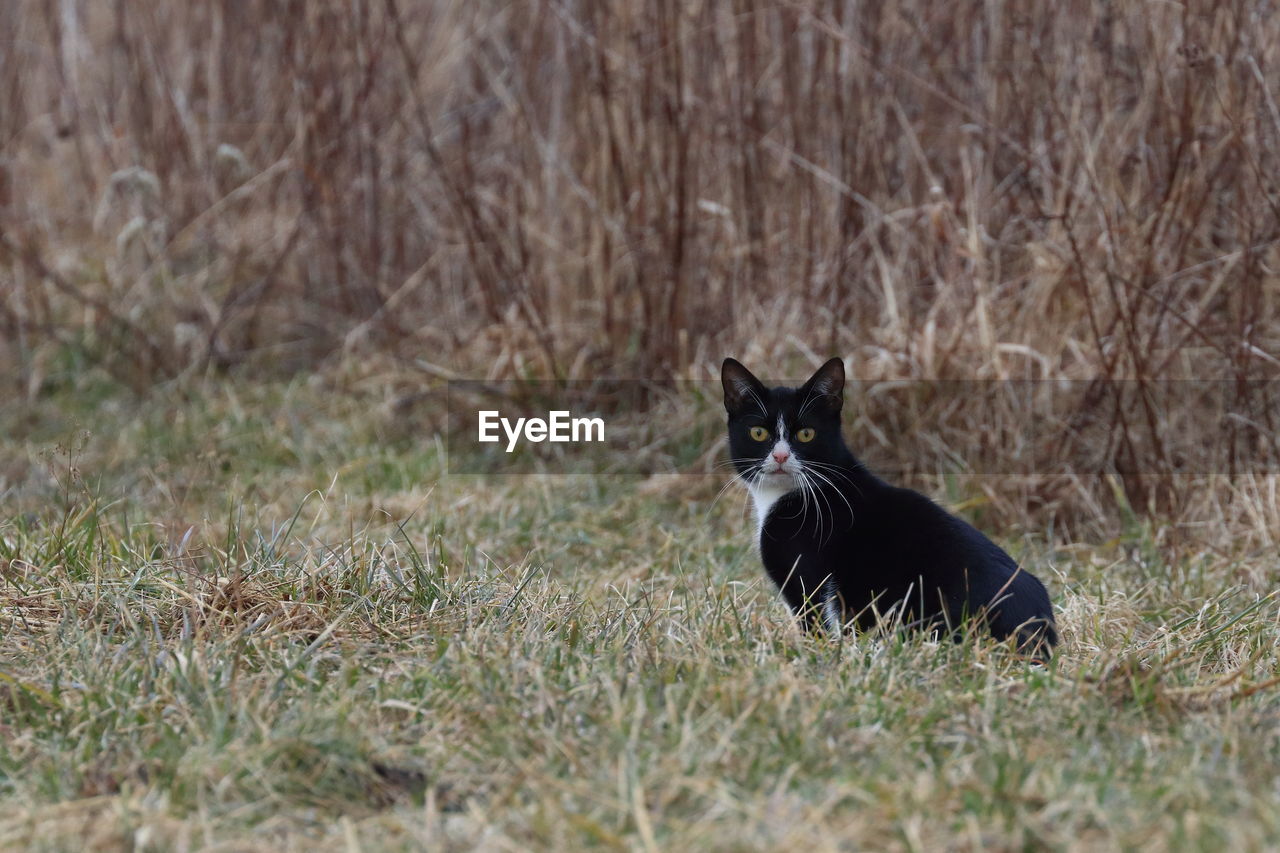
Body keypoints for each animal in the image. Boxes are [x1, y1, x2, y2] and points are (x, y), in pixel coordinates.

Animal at [727, 353, 1054, 650]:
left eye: (806, 433)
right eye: (758, 432)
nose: (781, 456)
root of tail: (1042, 635)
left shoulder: (805, 575)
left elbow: (813, 621)